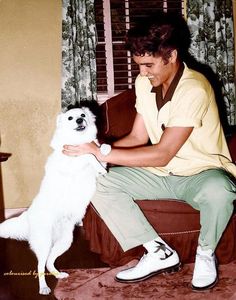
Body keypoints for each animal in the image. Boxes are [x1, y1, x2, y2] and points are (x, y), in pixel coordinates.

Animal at [0, 106, 106, 294]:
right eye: (71, 118)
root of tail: (28, 215)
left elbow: (99, 155)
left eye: (83, 115)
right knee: (40, 266)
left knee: (50, 262)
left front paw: (104, 150)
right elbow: (87, 156)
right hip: (44, 243)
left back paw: (59, 275)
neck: (78, 141)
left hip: (64, 241)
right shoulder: (72, 162)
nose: (80, 120)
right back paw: (43, 288)